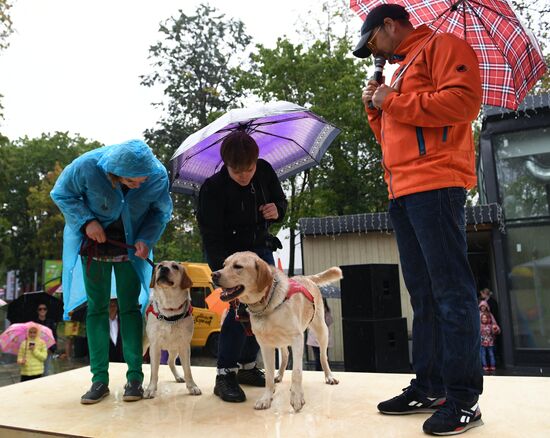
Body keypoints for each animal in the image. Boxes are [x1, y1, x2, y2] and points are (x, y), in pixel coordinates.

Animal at [143, 262, 202, 398]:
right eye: (159, 266)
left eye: (175, 266)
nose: (164, 269)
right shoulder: (154, 346)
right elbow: (154, 371)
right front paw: (151, 388)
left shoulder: (184, 345)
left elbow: (188, 369)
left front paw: (192, 386)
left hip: (174, 347)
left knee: (170, 362)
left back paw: (178, 376)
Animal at [213, 252, 342, 412]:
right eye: (224, 265)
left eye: (238, 266)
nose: (213, 274)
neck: (266, 304)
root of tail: (306, 277)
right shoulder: (265, 345)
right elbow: (268, 376)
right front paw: (266, 398)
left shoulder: (297, 339)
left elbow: (297, 372)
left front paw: (297, 398)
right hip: (281, 341)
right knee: (285, 356)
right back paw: (279, 375)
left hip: (321, 330)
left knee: (323, 357)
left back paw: (329, 376)